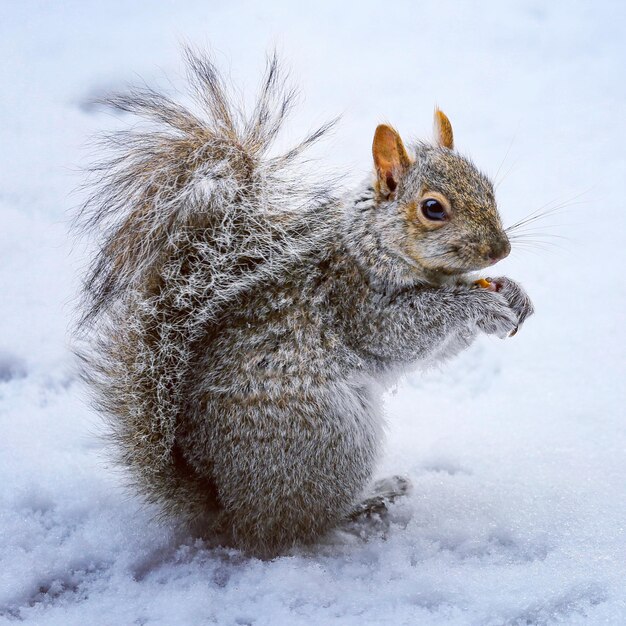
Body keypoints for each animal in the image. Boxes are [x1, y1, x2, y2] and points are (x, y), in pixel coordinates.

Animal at [74, 50, 532, 556]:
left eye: (488, 186)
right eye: (433, 208)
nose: (501, 250)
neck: (372, 244)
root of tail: (224, 507)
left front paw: (512, 292)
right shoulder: (355, 301)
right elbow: (404, 335)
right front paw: (475, 304)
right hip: (330, 440)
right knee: (291, 530)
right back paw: (368, 502)